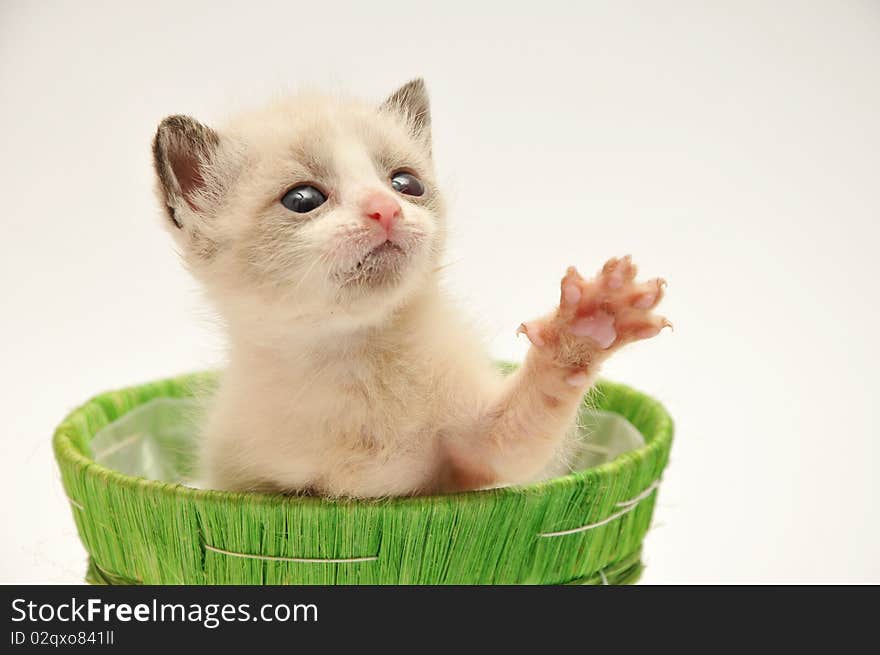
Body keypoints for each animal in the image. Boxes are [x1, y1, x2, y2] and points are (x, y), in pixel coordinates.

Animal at [151, 79, 668, 498]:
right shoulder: (244, 482)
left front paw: (588, 325)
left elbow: (527, 422)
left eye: (406, 183)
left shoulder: (480, 455)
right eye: (302, 199)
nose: (385, 208)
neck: (352, 357)